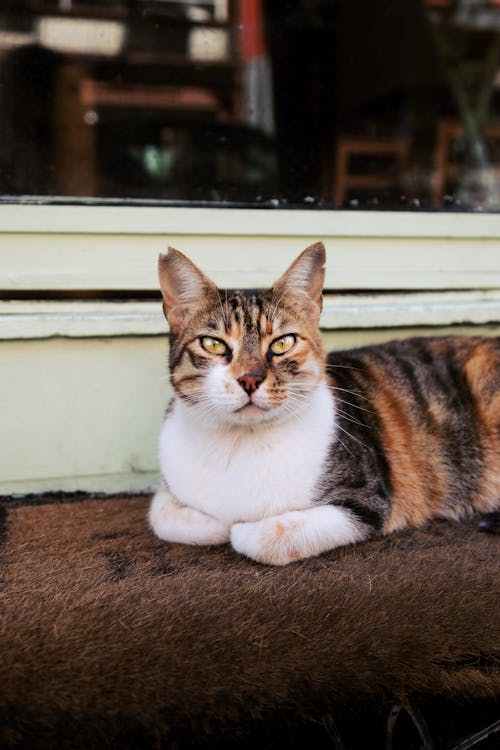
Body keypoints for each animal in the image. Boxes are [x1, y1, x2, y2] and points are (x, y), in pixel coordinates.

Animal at [148, 244, 500, 568]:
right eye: (214, 344)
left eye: (282, 343)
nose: (250, 379)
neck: (240, 442)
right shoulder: (169, 484)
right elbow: (160, 514)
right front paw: (214, 522)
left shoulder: (366, 500)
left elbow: (265, 537)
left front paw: (240, 529)